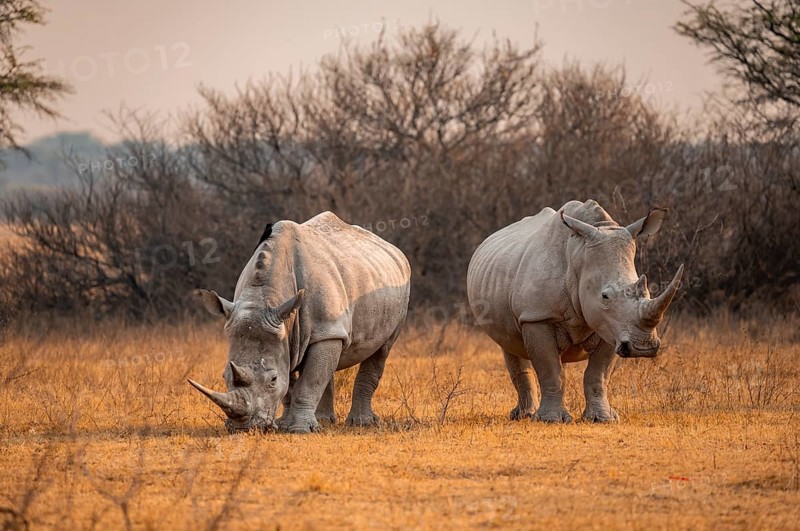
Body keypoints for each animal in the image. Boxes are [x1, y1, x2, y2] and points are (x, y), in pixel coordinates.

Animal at [189, 211, 411, 434]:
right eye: (224, 376)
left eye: (272, 380)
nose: (244, 428)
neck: (264, 298)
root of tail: (395, 250)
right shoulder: (283, 328)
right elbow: (293, 382)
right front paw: (283, 424)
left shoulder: (310, 326)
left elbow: (309, 382)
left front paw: (299, 429)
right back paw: (323, 421)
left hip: (396, 291)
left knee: (382, 349)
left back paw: (361, 423)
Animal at [467, 200, 683, 423]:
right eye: (605, 296)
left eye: (647, 292)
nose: (643, 347)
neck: (579, 256)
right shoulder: (537, 316)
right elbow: (550, 370)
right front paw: (550, 420)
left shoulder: (610, 325)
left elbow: (598, 373)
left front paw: (602, 419)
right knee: (509, 345)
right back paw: (523, 416)